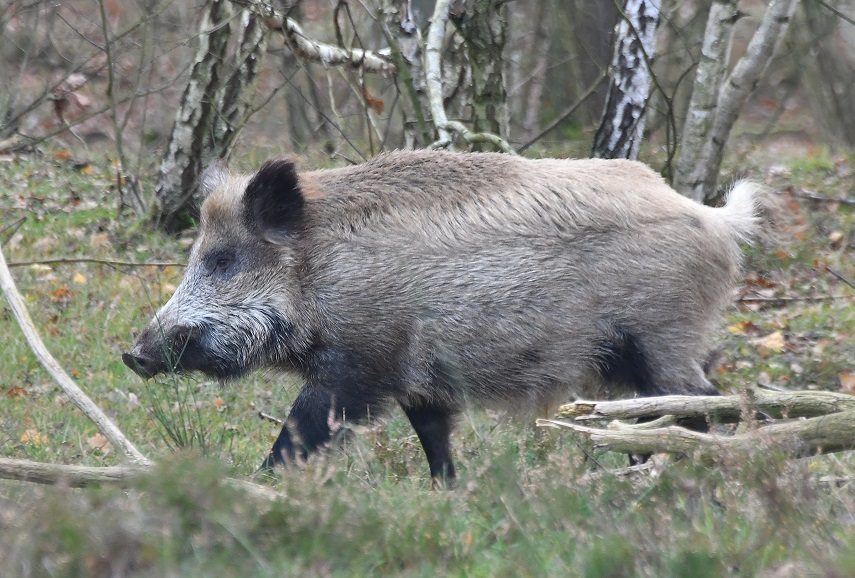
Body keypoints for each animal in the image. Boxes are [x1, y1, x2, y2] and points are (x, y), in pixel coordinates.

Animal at [123, 150, 758, 482]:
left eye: (222, 259)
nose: (134, 354)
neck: (318, 273)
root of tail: (717, 220)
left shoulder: (358, 368)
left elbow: (298, 434)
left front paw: (258, 487)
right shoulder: (420, 382)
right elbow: (434, 439)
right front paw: (450, 491)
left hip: (661, 336)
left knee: (698, 401)